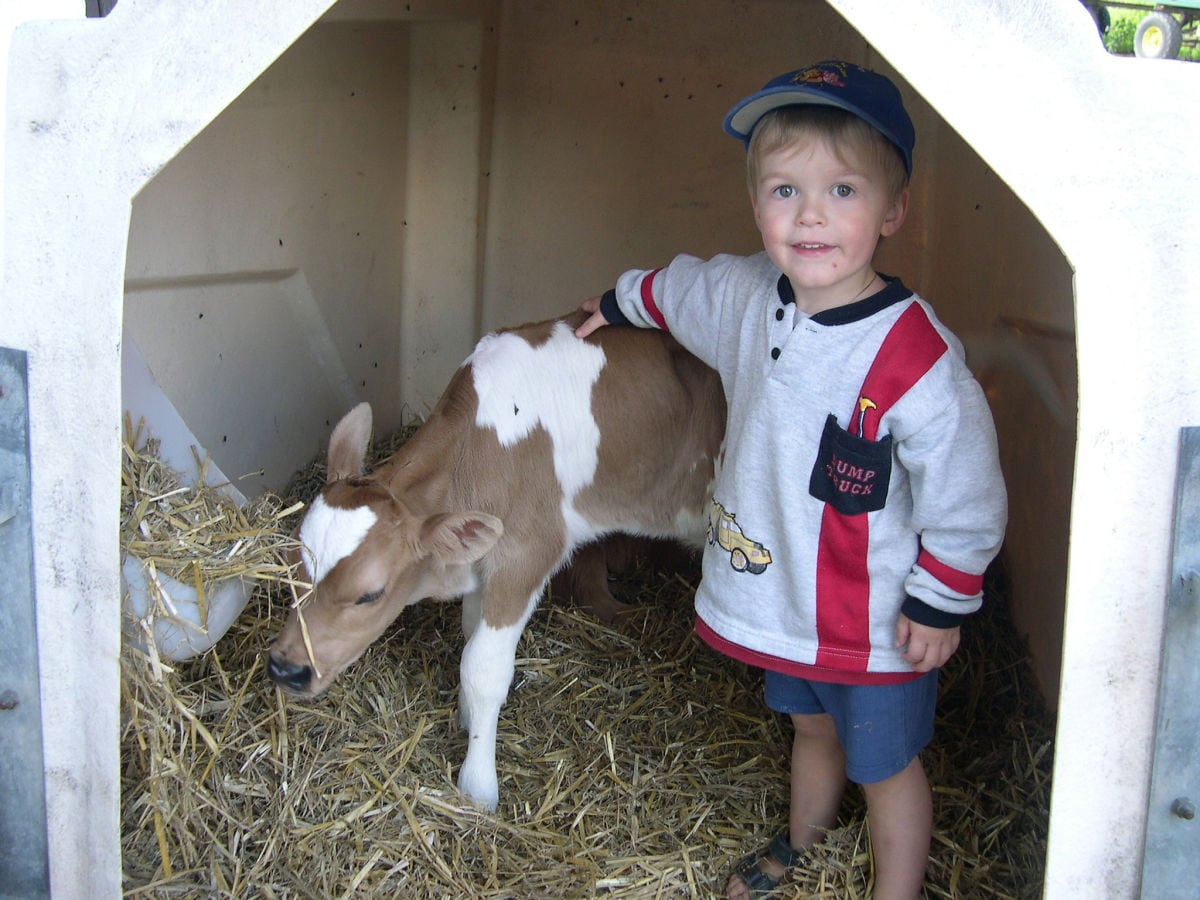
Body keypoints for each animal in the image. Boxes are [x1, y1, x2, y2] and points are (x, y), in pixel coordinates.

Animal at [270, 309, 720, 811]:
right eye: (289, 567)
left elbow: (482, 666)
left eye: (370, 594)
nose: (285, 669)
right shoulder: (483, 556)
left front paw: (478, 786)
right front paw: (468, 721)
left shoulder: (527, 552)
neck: (480, 449)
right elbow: (470, 635)